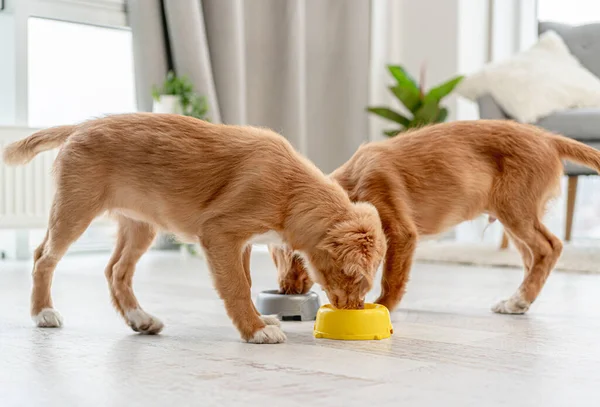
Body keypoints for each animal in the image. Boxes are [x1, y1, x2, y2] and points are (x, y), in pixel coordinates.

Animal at [2, 112, 384, 344]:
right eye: (353, 276)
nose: (354, 309)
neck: (291, 188)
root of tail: (78, 127)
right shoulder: (219, 234)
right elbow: (236, 287)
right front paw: (256, 329)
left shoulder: (242, 242)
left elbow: (245, 281)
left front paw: (261, 320)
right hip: (75, 210)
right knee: (43, 257)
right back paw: (42, 313)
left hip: (140, 225)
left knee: (116, 270)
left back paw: (140, 319)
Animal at [270, 120, 600, 316]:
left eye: (294, 256)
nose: (284, 290)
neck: (352, 184)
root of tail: (548, 138)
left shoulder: (401, 232)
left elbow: (393, 277)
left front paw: (383, 306)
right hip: (513, 217)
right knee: (532, 256)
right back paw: (518, 300)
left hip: (515, 210)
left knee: (550, 247)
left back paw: (521, 298)